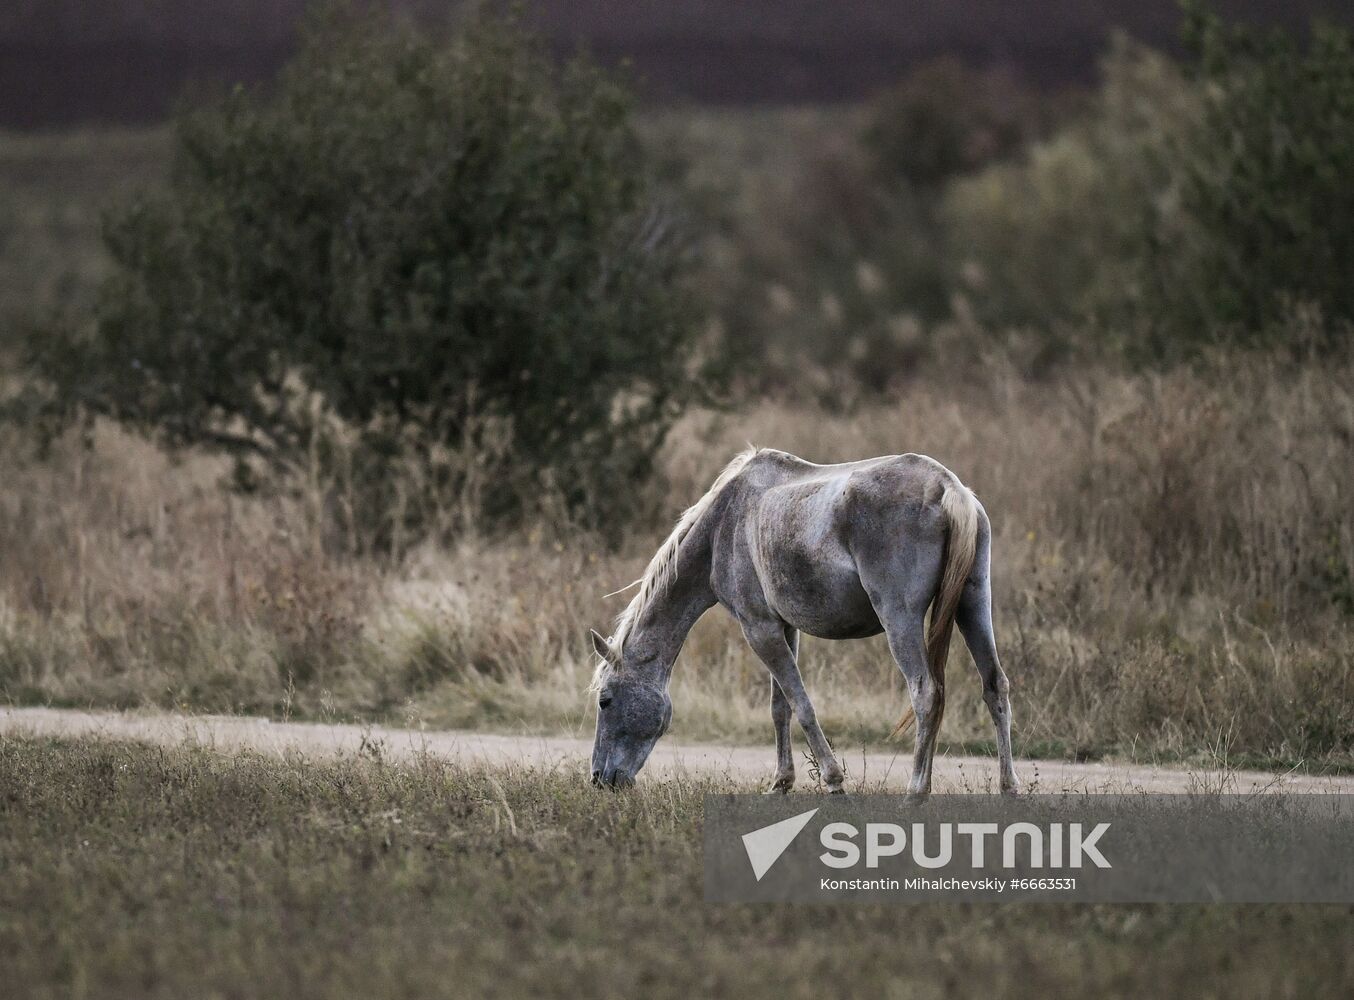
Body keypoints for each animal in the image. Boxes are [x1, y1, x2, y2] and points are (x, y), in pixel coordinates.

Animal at [587, 446, 1018, 795]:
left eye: (606, 700)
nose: (598, 778)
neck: (723, 526)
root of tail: (949, 489)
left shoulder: (758, 628)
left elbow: (801, 704)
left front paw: (833, 780)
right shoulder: (783, 628)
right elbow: (780, 707)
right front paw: (781, 782)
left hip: (901, 620)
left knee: (926, 692)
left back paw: (916, 790)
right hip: (973, 606)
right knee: (995, 686)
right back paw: (1008, 787)